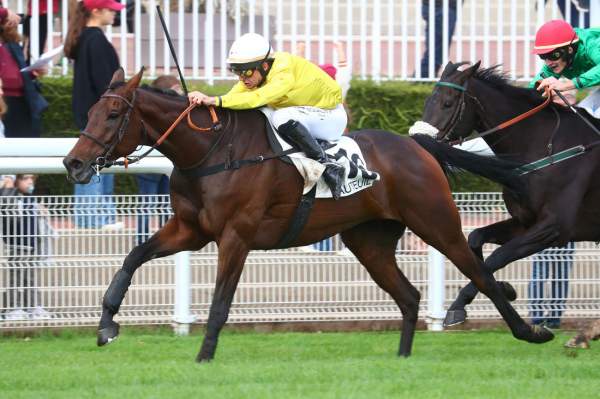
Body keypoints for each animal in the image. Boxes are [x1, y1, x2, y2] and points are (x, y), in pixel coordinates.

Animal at [62, 68, 552, 362]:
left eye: (113, 113)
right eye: (90, 109)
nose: (73, 163)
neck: (211, 152)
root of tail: (418, 144)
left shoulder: (236, 236)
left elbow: (220, 301)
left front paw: (204, 356)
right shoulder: (189, 230)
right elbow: (132, 258)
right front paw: (106, 326)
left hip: (436, 222)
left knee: (479, 271)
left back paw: (529, 332)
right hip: (370, 242)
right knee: (409, 296)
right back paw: (402, 358)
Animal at [414, 61, 600, 326]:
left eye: (447, 103)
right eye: (428, 100)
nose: (416, 140)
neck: (547, 146)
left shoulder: (554, 227)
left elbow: (498, 256)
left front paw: (458, 307)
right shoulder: (525, 222)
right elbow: (476, 238)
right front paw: (504, 288)